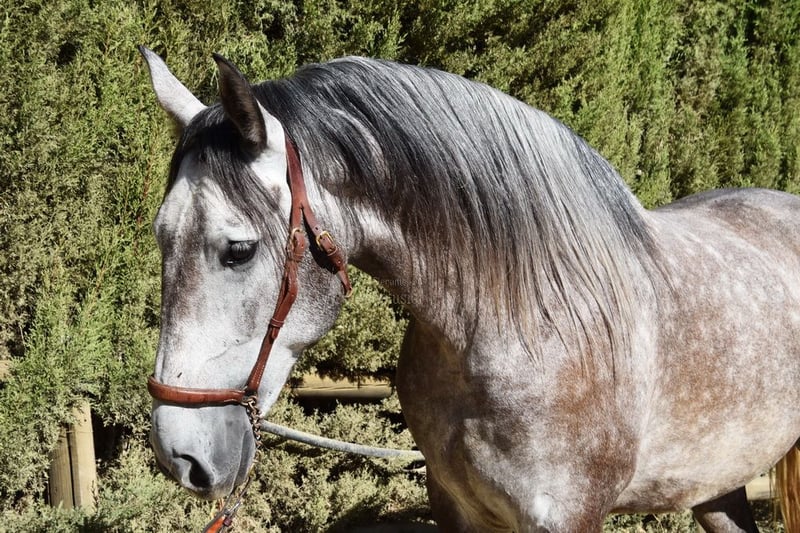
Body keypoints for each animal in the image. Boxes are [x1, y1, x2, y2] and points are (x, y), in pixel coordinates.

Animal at [139, 46, 800, 532]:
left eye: (239, 250)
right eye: (160, 237)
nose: (179, 456)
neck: (526, 327)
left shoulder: (566, 517)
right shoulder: (455, 505)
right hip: (719, 484)